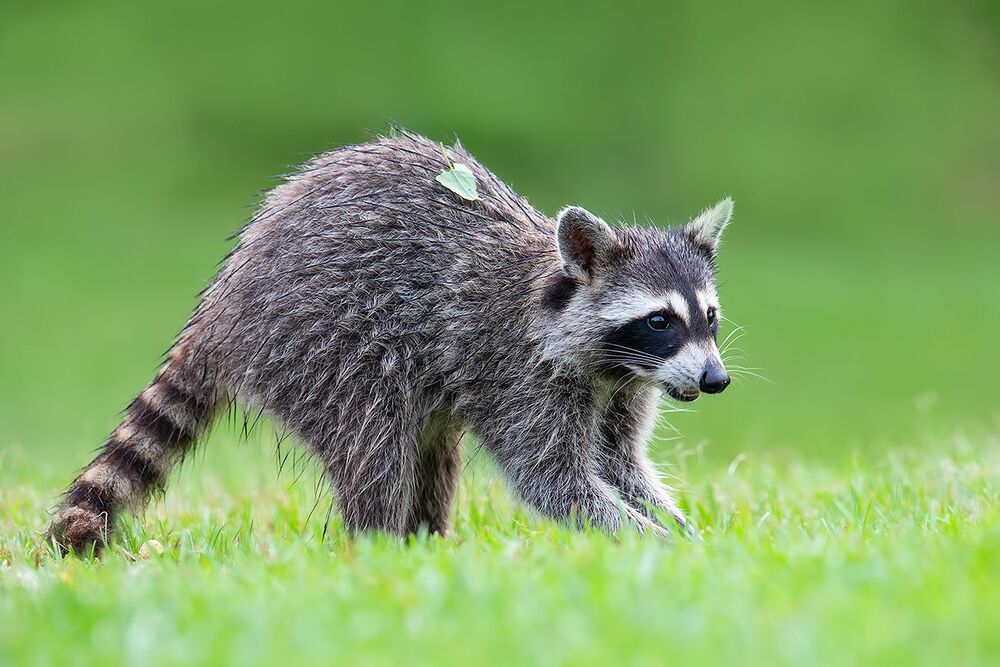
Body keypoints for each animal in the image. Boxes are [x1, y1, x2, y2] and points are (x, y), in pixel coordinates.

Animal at [49, 132, 734, 554]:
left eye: (709, 317)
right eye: (660, 320)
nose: (715, 380)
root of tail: (223, 301)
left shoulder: (625, 387)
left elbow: (619, 465)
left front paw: (679, 527)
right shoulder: (519, 374)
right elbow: (555, 481)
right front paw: (656, 543)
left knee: (432, 451)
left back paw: (427, 544)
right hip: (320, 343)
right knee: (375, 444)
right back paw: (378, 548)